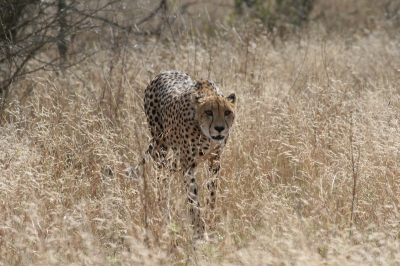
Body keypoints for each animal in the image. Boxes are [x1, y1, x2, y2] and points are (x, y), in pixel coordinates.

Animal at [141, 69, 236, 240]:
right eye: (208, 112)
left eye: (227, 112)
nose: (219, 128)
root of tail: (165, 71)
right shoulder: (189, 166)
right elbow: (194, 199)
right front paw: (199, 232)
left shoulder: (214, 162)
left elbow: (212, 196)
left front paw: (210, 225)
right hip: (160, 147)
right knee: (161, 180)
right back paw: (164, 217)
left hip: (176, 159)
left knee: (167, 173)